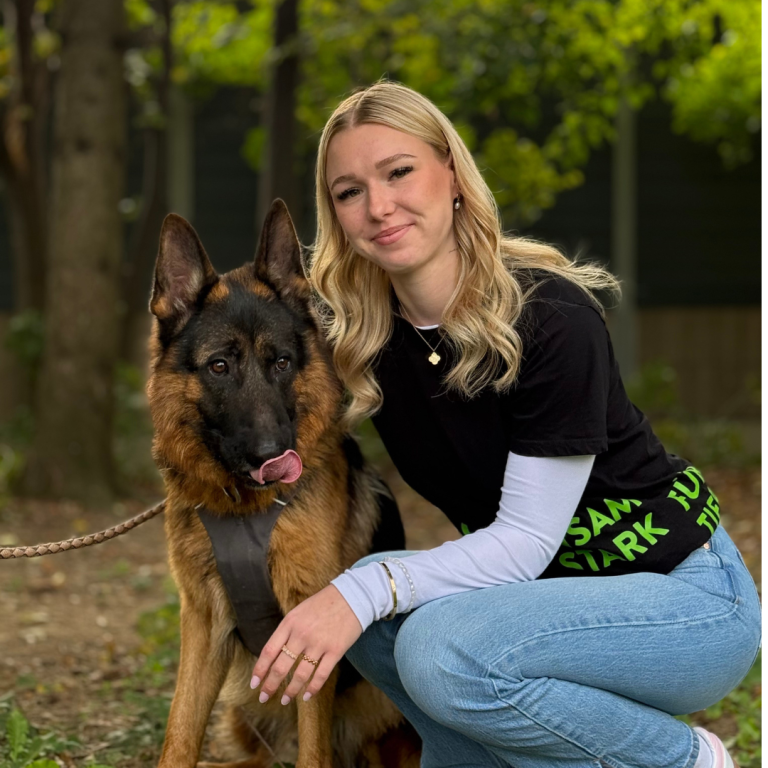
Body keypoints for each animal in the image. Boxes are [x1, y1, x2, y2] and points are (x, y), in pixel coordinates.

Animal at [146, 199, 422, 768]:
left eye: (281, 363)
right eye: (219, 366)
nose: (276, 455)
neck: (244, 512)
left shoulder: (309, 626)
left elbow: (313, 751)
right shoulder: (201, 625)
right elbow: (179, 732)